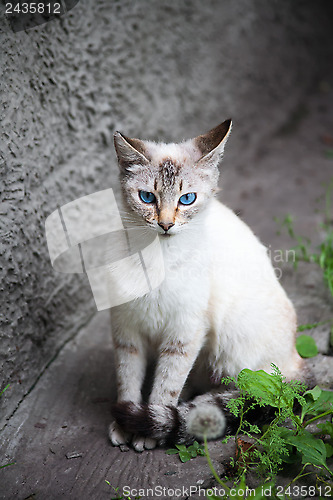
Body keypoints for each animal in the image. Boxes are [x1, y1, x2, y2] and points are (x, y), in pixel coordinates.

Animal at [107, 120, 308, 454]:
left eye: (187, 199)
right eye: (147, 197)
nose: (165, 225)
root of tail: (297, 363)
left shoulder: (184, 333)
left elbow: (166, 385)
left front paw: (148, 429)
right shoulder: (127, 330)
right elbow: (127, 380)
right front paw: (125, 422)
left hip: (234, 351)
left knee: (243, 394)